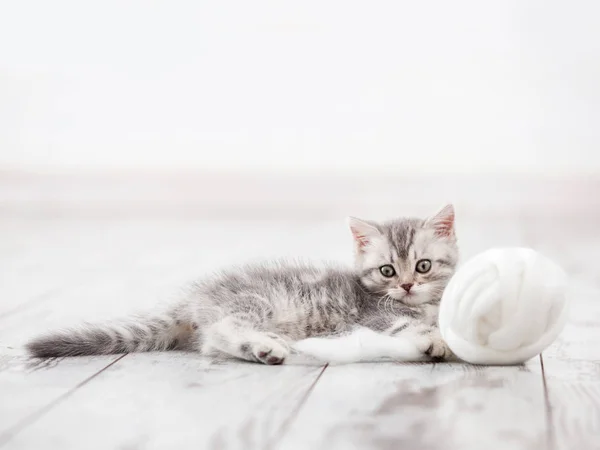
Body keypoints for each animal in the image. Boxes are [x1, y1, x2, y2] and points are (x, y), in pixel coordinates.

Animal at [25, 206, 460, 364]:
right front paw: (431, 340)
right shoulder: (373, 315)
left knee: (209, 343)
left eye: (422, 266)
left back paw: (260, 348)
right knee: (221, 330)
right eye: (387, 271)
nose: (407, 286)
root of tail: (194, 298)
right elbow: (406, 324)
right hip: (255, 303)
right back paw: (264, 347)